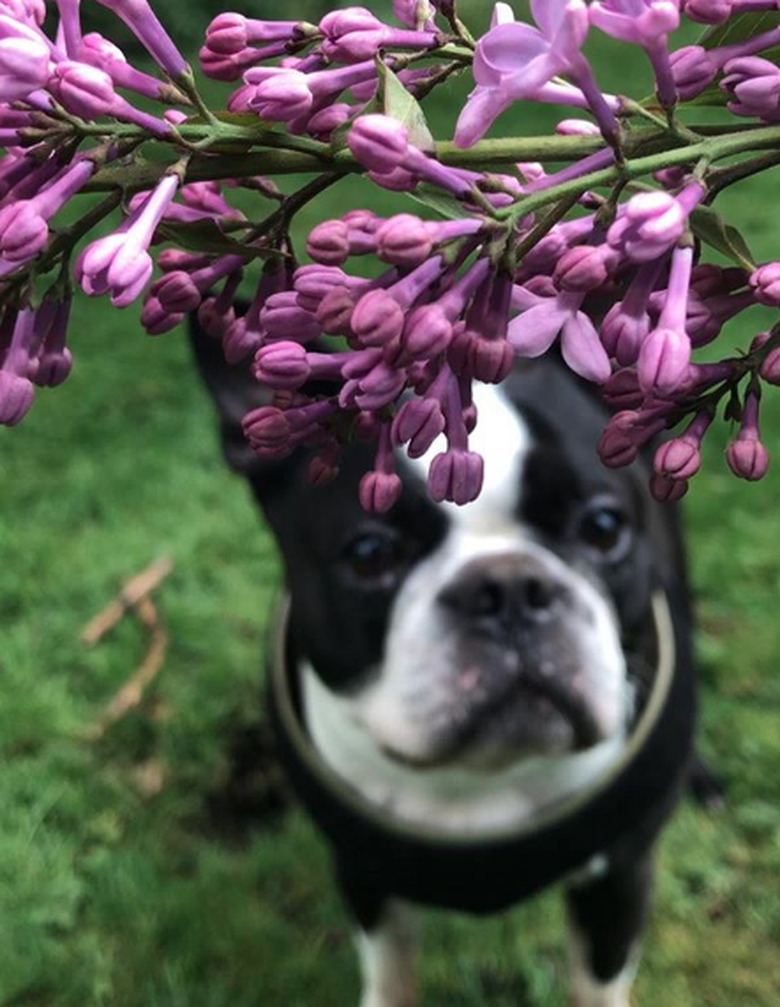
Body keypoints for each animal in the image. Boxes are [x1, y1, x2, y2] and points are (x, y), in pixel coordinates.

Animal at [189, 318, 696, 1007]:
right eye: (370, 554)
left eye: (602, 527)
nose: (508, 589)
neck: (476, 782)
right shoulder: (365, 878)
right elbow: (390, 972)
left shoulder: (616, 882)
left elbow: (598, 985)